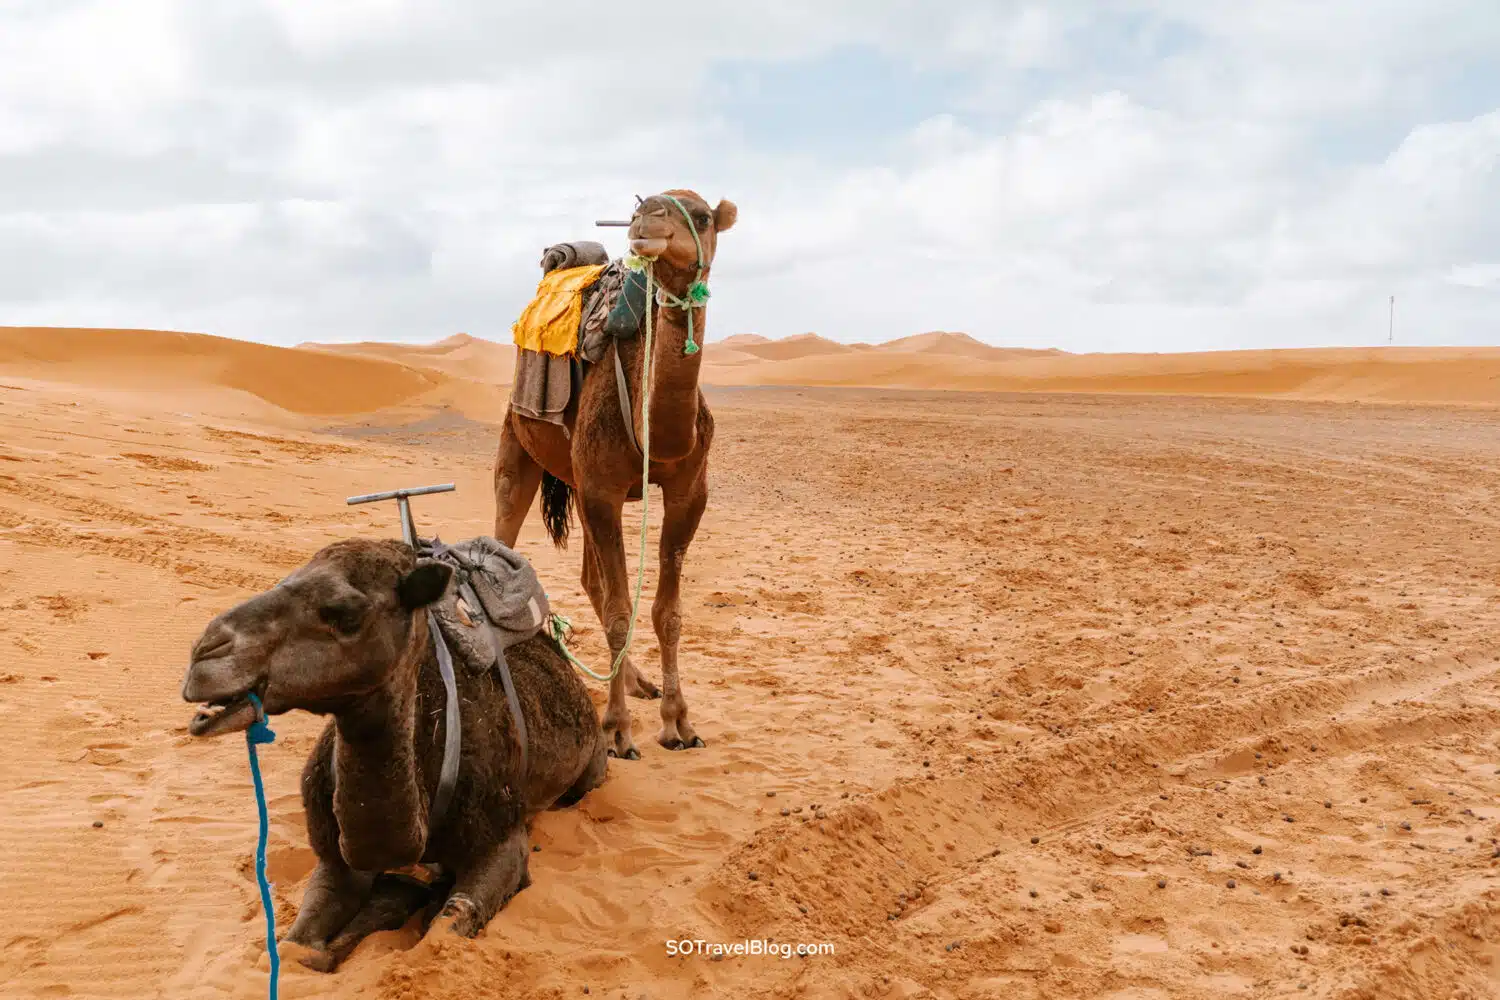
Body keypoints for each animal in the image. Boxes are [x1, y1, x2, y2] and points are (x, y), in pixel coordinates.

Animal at [174, 536, 597, 971]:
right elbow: (299, 947)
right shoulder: (335, 858)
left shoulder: (500, 840)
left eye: (345, 613)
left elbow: (445, 924)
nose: (205, 654)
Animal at [495, 187, 735, 758]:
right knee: (505, 528)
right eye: (639, 210)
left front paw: (678, 723)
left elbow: (665, 613)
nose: (646, 221)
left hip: (576, 478)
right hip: (519, 440)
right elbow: (621, 610)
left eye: (702, 217)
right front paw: (618, 731)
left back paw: (635, 681)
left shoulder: (689, 491)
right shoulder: (602, 489)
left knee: (592, 579)